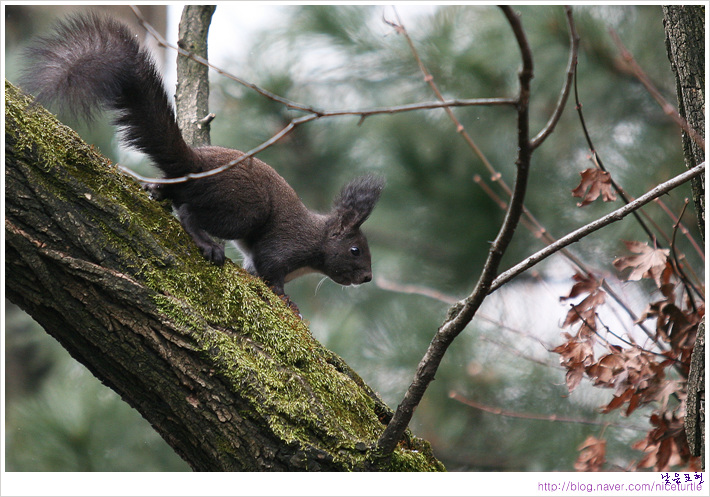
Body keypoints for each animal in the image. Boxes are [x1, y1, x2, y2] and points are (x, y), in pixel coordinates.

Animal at [22, 13, 386, 304]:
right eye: (355, 250)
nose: (367, 277)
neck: (316, 243)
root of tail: (194, 165)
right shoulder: (285, 244)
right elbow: (271, 268)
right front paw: (288, 300)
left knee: (171, 192)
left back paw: (156, 190)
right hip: (242, 209)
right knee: (188, 212)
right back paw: (206, 242)